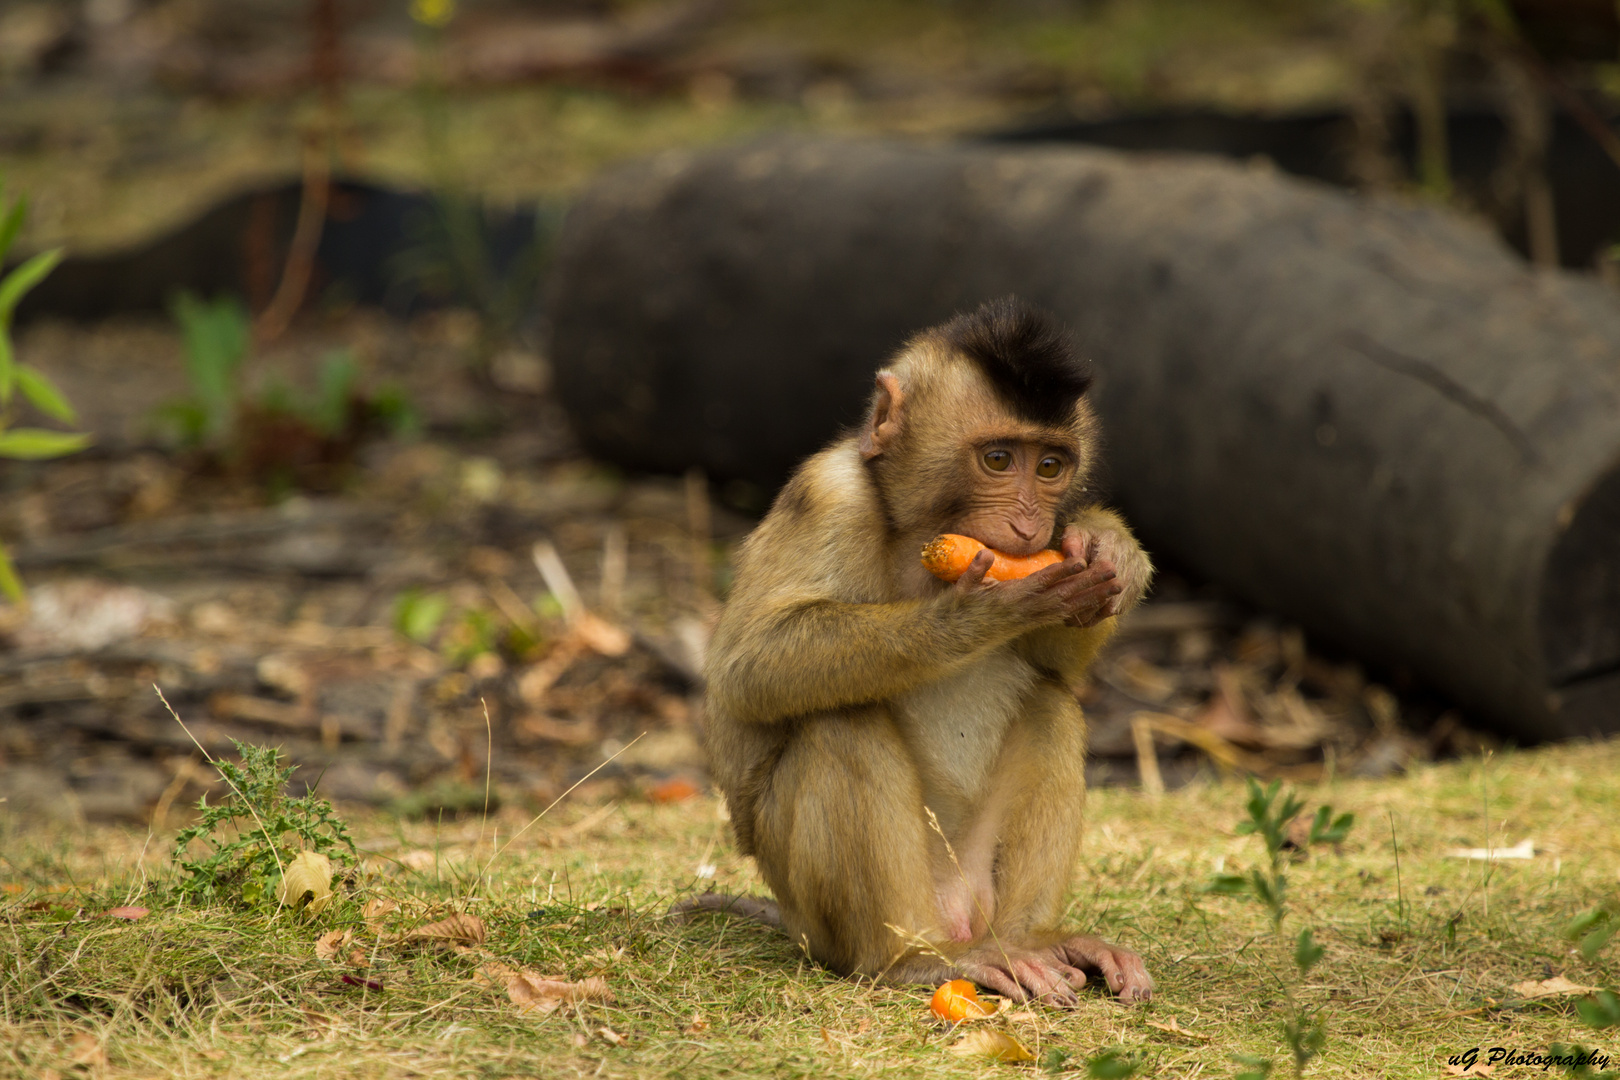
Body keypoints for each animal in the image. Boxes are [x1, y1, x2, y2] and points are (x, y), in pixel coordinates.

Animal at [677, 296, 1159, 1003]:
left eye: (1049, 466)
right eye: (997, 460)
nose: (1027, 526)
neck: (921, 535)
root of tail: (958, 920)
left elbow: (1056, 661)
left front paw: (1111, 543)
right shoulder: (829, 494)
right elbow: (751, 665)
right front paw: (970, 615)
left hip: (977, 883)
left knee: (1052, 706)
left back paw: (1036, 941)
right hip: (823, 916)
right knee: (839, 720)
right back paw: (908, 960)